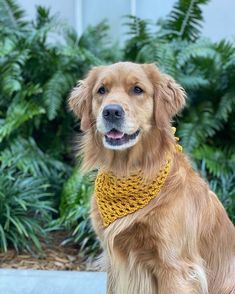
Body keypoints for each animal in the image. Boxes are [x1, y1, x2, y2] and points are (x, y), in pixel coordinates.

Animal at [69, 62, 234, 294]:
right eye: (101, 90)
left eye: (137, 89)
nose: (111, 111)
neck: (126, 172)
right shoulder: (115, 263)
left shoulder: (174, 266)